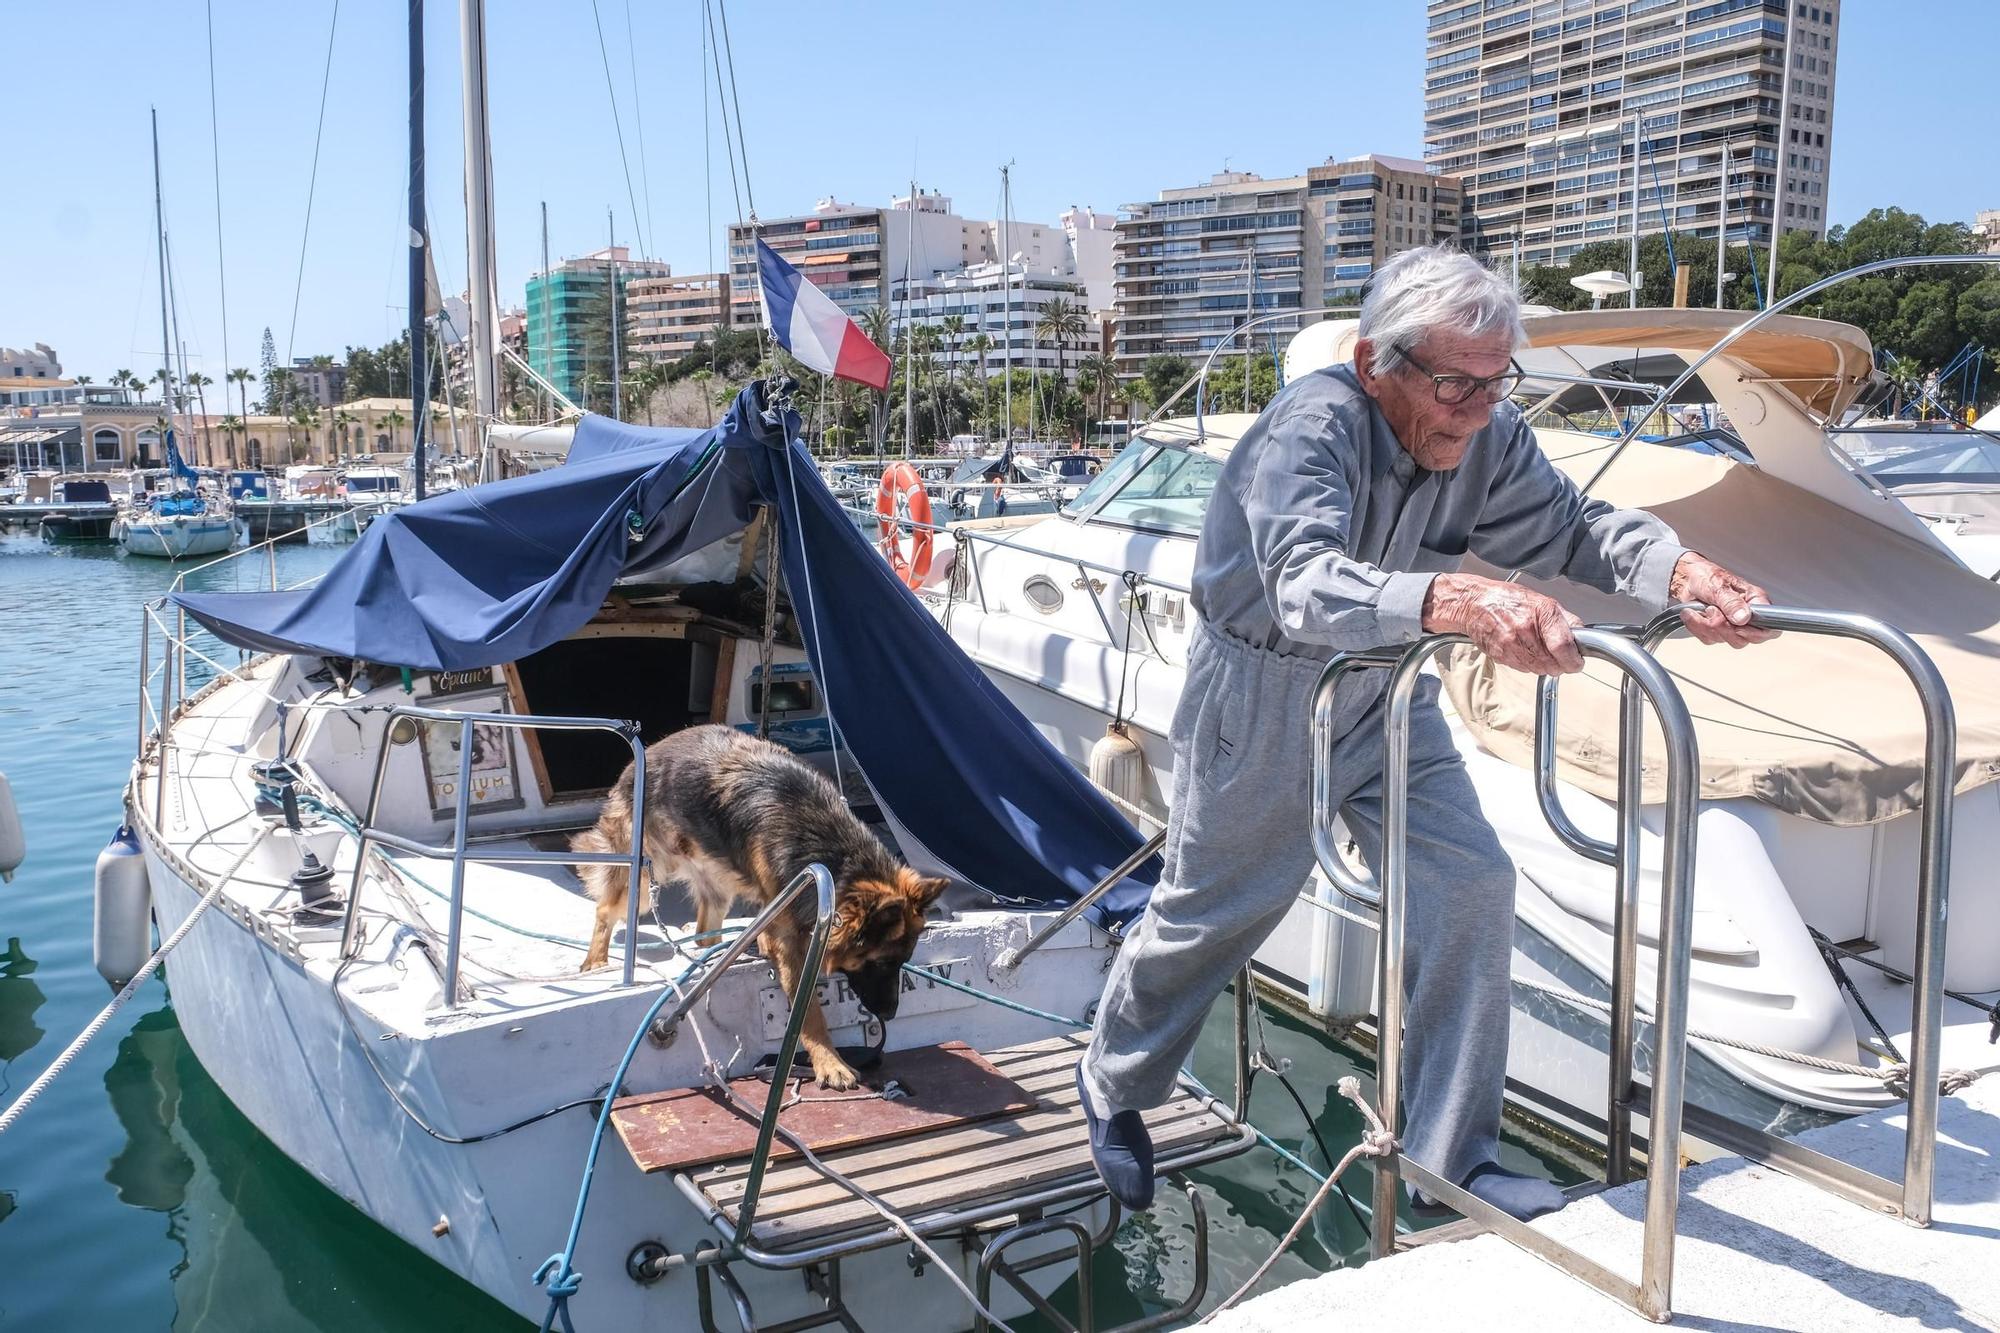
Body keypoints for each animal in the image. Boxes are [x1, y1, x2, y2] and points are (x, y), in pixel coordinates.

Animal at [576, 720, 948, 1088]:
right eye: (881, 963)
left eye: (903, 962)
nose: (889, 1015)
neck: (840, 860)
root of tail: (646, 754)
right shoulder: (789, 939)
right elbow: (809, 1012)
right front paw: (830, 1063)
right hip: (642, 877)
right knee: (605, 911)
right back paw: (595, 964)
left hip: (717, 888)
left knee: (706, 931)